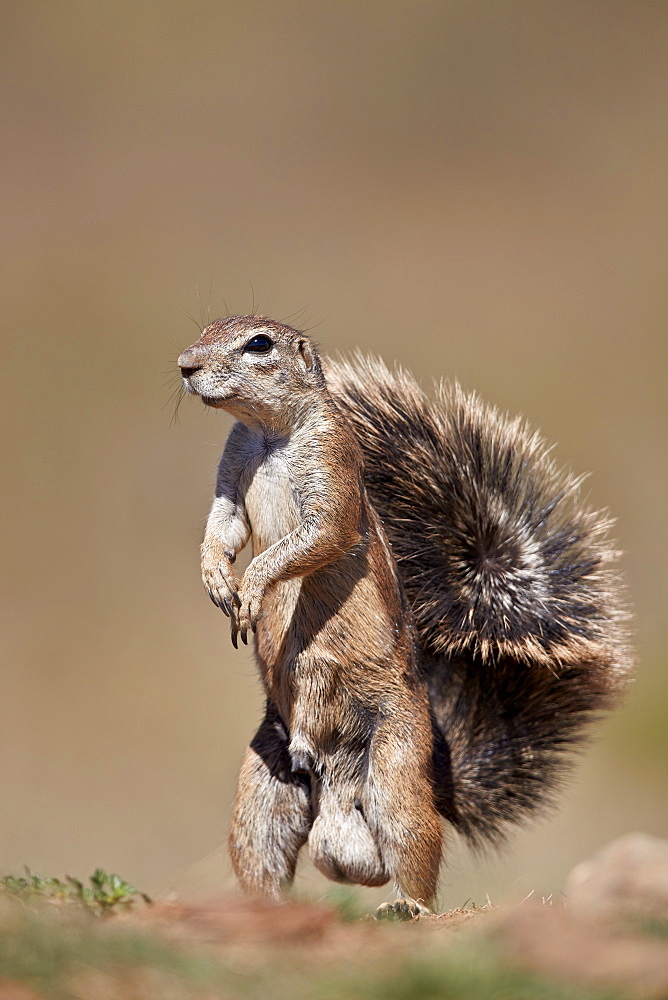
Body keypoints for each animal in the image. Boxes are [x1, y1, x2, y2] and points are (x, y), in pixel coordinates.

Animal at [177, 316, 632, 912]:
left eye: (259, 344)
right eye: (207, 327)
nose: (185, 365)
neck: (266, 433)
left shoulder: (333, 466)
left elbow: (319, 535)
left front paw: (251, 587)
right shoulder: (232, 469)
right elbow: (224, 526)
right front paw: (216, 578)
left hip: (395, 768)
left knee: (414, 844)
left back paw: (406, 907)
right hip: (266, 781)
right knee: (262, 850)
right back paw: (259, 910)